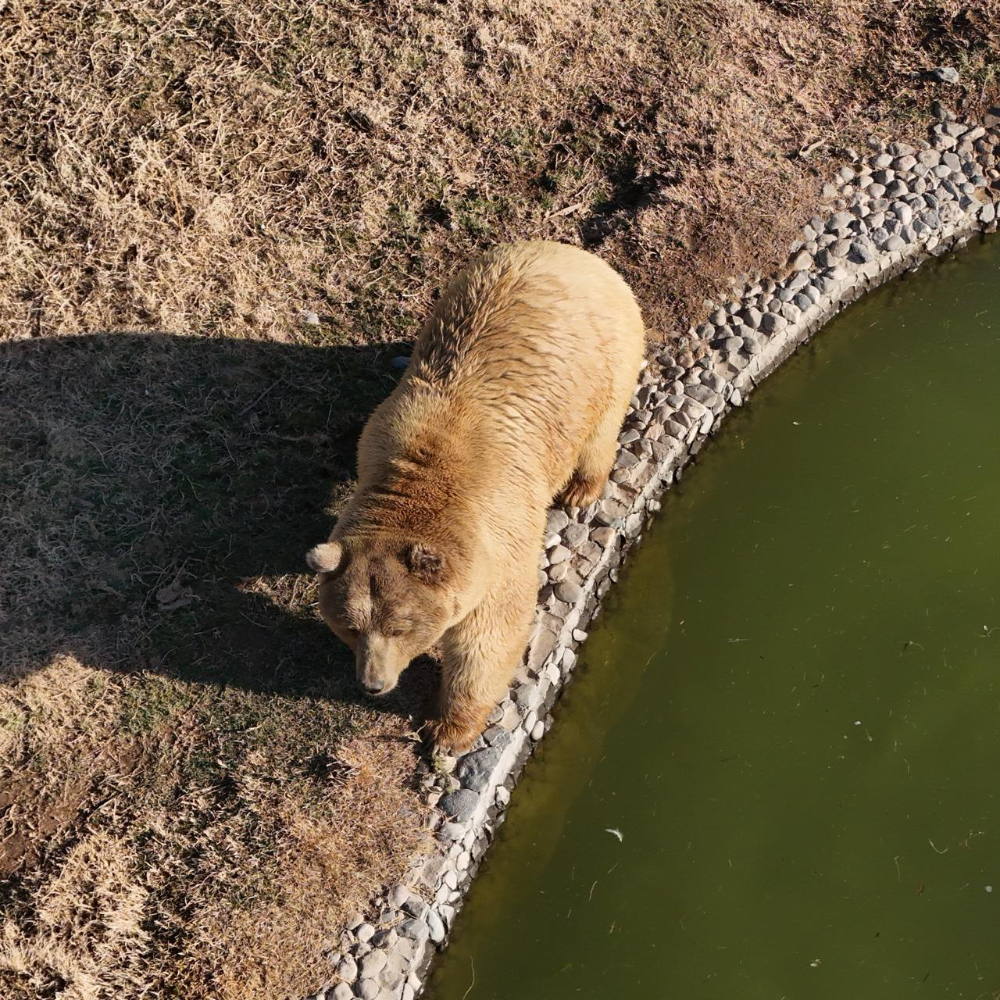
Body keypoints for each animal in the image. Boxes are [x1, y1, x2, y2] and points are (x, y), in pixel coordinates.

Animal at [308, 240, 644, 752]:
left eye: (399, 627)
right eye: (349, 626)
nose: (373, 684)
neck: (420, 473)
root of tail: (574, 253)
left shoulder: (498, 533)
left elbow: (488, 637)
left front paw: (446, 731)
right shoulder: (379, 433)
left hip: (606, 362)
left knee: (600, 431)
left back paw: (580, 490)